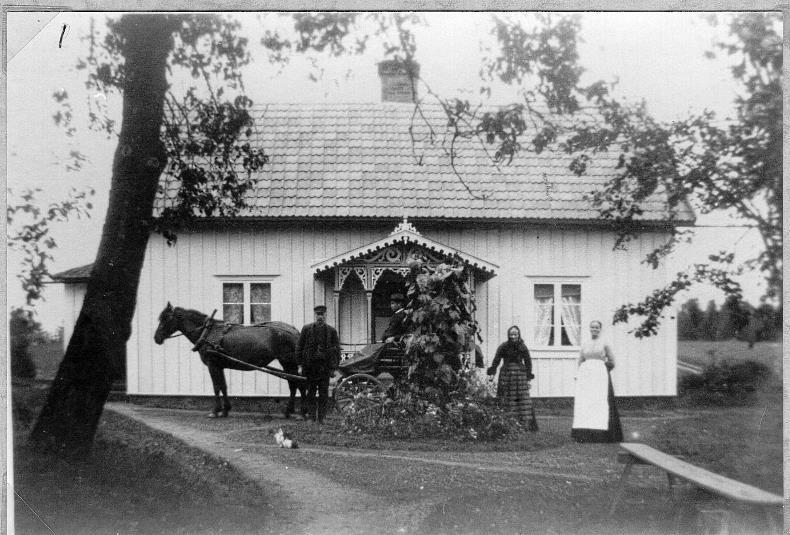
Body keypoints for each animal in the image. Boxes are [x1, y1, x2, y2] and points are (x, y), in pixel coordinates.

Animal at [153, 302, 304, 418]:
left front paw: (215, 411)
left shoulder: (212, 365)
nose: (156, 338)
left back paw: (301, 412)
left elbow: (216, 386)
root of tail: (294, 330)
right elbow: (223, 386)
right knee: (294, 383)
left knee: (296, 383)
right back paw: (293, 411)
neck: (207, 332)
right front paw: (225, 410)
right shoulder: (219, 366)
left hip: (287, 361)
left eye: (165, 319)